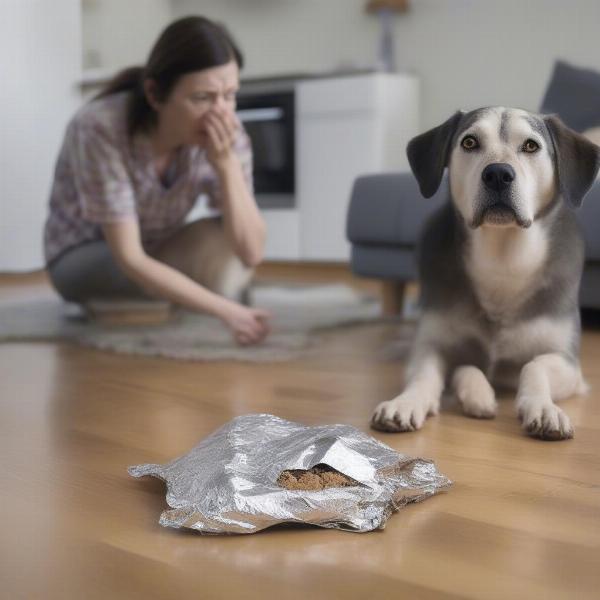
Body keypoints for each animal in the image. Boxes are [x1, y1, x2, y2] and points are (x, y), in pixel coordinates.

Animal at [370, 108, 600, 438]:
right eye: (469, 142)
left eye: (531, 146)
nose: (498, 174)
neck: (502, 259)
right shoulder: (431, 345)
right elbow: (428, 374)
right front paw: (406, 402)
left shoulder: (569, 364)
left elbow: (534, 366)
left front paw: (543, 409)